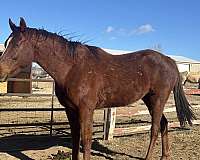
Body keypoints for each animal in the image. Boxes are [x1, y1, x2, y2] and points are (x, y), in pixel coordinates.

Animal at [0, 18, 196, 159]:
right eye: (6, 42)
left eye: (17, 44)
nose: (0, 71)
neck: (72, 68)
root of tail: (169, 60)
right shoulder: (71, 110)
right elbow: (75, 139)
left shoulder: (86, 109)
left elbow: (86, 140)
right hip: (150, 100)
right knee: (164, 124)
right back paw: (165, 156)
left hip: (158, 99)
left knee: (155, 129)